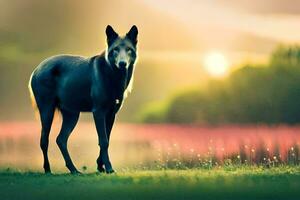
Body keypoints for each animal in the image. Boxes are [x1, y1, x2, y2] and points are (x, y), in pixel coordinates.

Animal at [28, 25, 138, 174]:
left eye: (129, 49)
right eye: (115, 49)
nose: (122, 63)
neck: (114, 77)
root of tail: (36, 70)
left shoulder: (112, 113)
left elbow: (107, 139)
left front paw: (100, 166)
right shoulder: (98, 111)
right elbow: (103, 141)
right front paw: (109, 168)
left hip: (72, 114)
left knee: (60, 139)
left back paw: (74, 169)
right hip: (47, 110)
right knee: (44, 140)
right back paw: (48, 169)